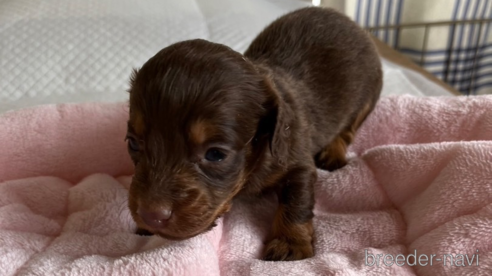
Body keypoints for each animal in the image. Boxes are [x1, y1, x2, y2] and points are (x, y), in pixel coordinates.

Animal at [125, 6, 382, 260]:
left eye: (215, 154)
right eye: (133, 144)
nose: (150, 215)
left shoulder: (298, 162)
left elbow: (296, 200)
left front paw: (289, 242)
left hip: (368, 96)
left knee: (348, 129)